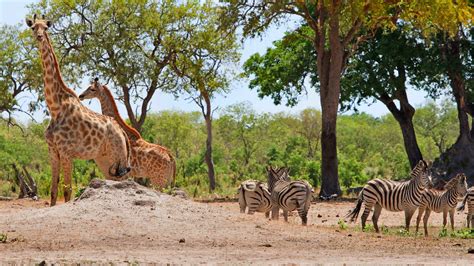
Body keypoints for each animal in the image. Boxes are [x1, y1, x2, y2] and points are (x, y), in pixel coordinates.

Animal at [25, 14, 131, 206]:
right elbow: (53, 191)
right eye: (33, 27)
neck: (55, 107)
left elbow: (67, 191)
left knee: (123, 182)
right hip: (104, 159)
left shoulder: (66, 152)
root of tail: (123, 133)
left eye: (46, 28)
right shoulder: (53, 151)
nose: (40, 37)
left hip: (117, 157)